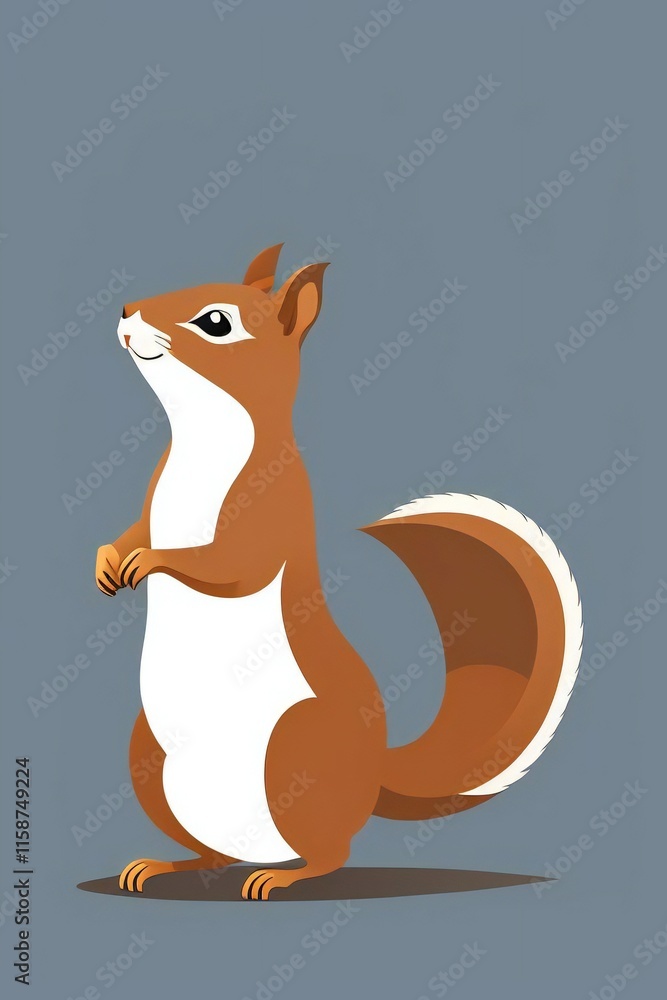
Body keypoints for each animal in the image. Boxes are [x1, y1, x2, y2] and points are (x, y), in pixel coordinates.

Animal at [96, 243, 582, 901]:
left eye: (216, 322)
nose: (127, 311)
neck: (204, 441)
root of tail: (371, 776)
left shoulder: (269, 508)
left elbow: (228, 564)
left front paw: (152, 563)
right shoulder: (152, 500)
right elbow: (133, 529)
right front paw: (106, 562)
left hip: (297, 747)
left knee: (331, 854)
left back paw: (283, 879)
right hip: (150, 753)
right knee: (211, 853)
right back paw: (163, 866)